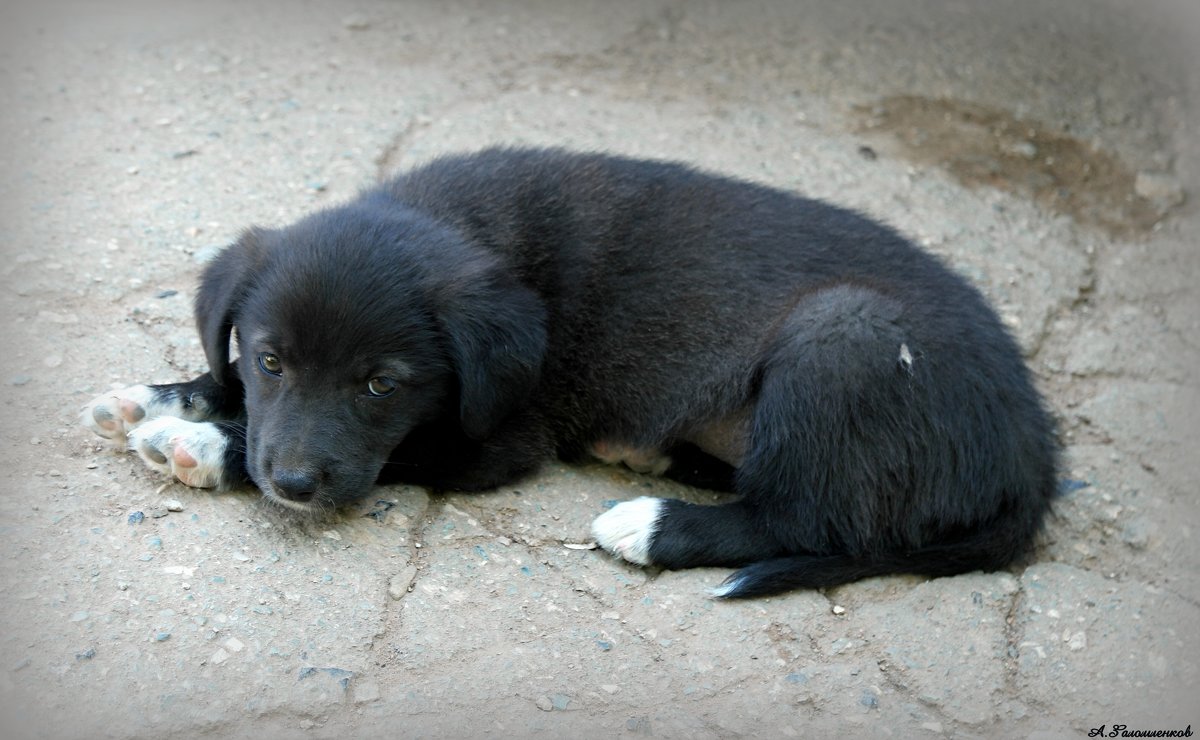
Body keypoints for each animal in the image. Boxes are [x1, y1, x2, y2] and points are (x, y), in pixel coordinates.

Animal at [84, 146, 1060, 597]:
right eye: (272, 359)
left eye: (381, 384)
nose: (291, 485)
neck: (468, 225)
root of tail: (1036, 459)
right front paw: (167, 395)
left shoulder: (500, 438)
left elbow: (403, 452)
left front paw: (207, 446)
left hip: (843, 334)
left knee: (808, 520)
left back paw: (651, 524)